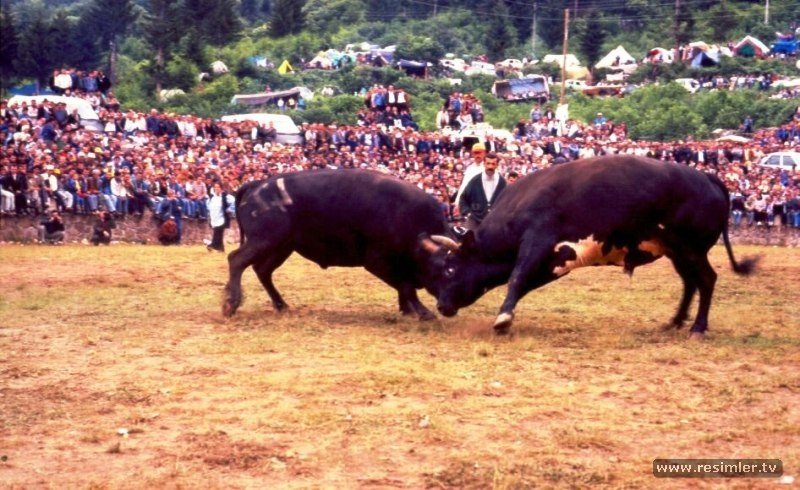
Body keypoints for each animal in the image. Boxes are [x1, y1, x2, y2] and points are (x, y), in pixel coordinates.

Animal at [222, 170, 454, 320]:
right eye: (447, 270)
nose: (448, 307)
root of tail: (256, 185)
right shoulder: (377, 262)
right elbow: (405, 285)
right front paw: (424, 313)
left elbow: (403, 286)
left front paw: (407, 310)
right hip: (264, 241)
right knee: (236, 260)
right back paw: (231, 304)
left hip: (281, 247)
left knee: (262, 270)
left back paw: (282, 305)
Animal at [428, 157, 760, 336]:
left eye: (450, 269)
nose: (441, 305)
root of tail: (707, 176)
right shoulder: (556, 259)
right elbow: (522, 282)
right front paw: (506, 316)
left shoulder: (538, 242)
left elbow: (517, 278)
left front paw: (503, 319)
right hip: (677, 251)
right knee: (691, 282)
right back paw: (675, 322)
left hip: (692, 248)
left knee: (706, 279)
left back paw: (698, 328)